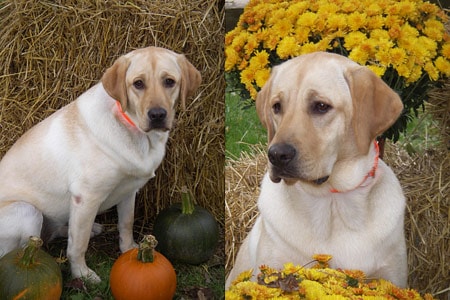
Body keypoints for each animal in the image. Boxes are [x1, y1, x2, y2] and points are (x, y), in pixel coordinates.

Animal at [0, 45, 201, 282]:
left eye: (169, 81)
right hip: (28, 210)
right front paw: (82, 273)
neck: (135, 131)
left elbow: (126, 223)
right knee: (26, 248)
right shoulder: (86, 197)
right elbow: (78, 243)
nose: (158, 115)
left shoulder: (129, 191)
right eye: (138, 83)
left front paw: (131, 249)